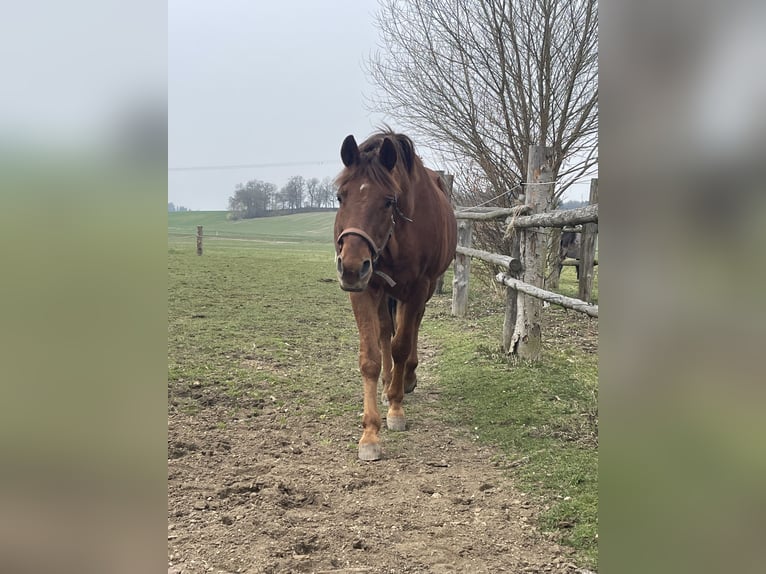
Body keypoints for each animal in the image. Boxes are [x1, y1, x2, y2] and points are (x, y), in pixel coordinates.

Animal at [333, 131, 457, 461]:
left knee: (411, 329)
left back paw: (406, 379)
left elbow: (401, 345)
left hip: (420, 291)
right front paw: (369, 434)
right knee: (386, 332)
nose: (351, 266)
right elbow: (371, 356)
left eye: (389, 201)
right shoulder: (366, 289)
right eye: (340, 197)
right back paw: (390, 380)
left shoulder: (417, 288)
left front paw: (396, 408)